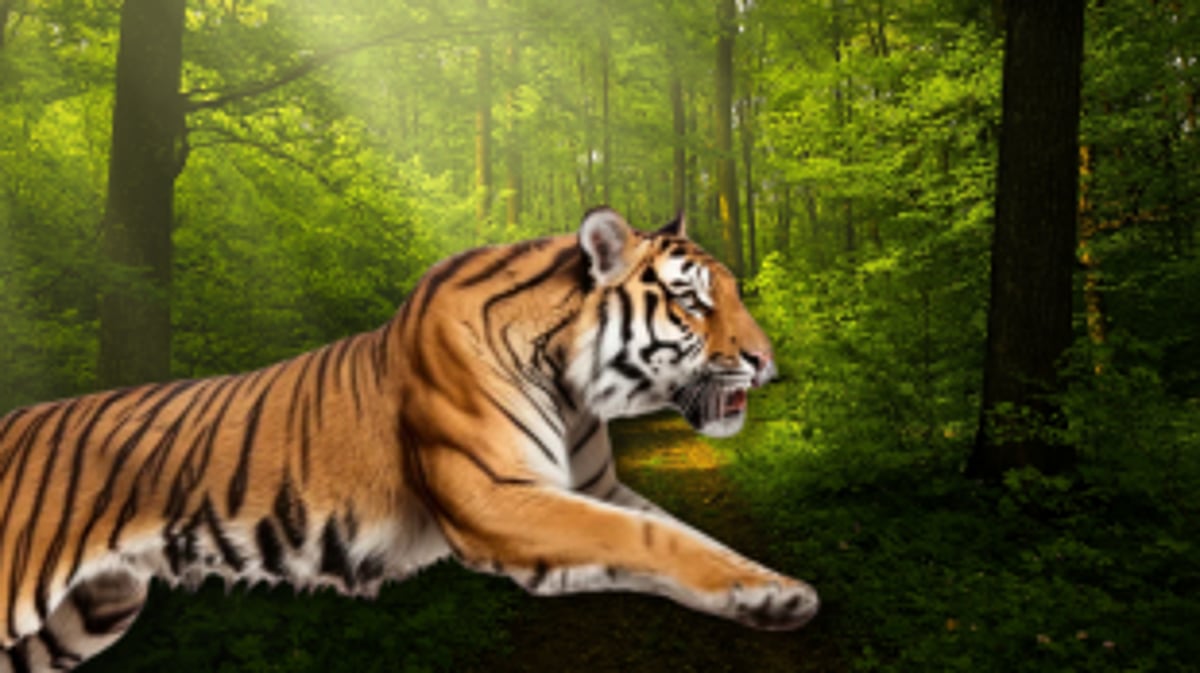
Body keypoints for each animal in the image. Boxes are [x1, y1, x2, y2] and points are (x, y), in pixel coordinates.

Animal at [0, 206, 819, 672]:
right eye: (691, 302)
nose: (767, 360)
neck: (573, 386)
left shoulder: (594, 488)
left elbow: (683, 534)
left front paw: (769, 587)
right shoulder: (498, 499)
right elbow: (650, 539)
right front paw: (777, 595)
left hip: (89, 611)